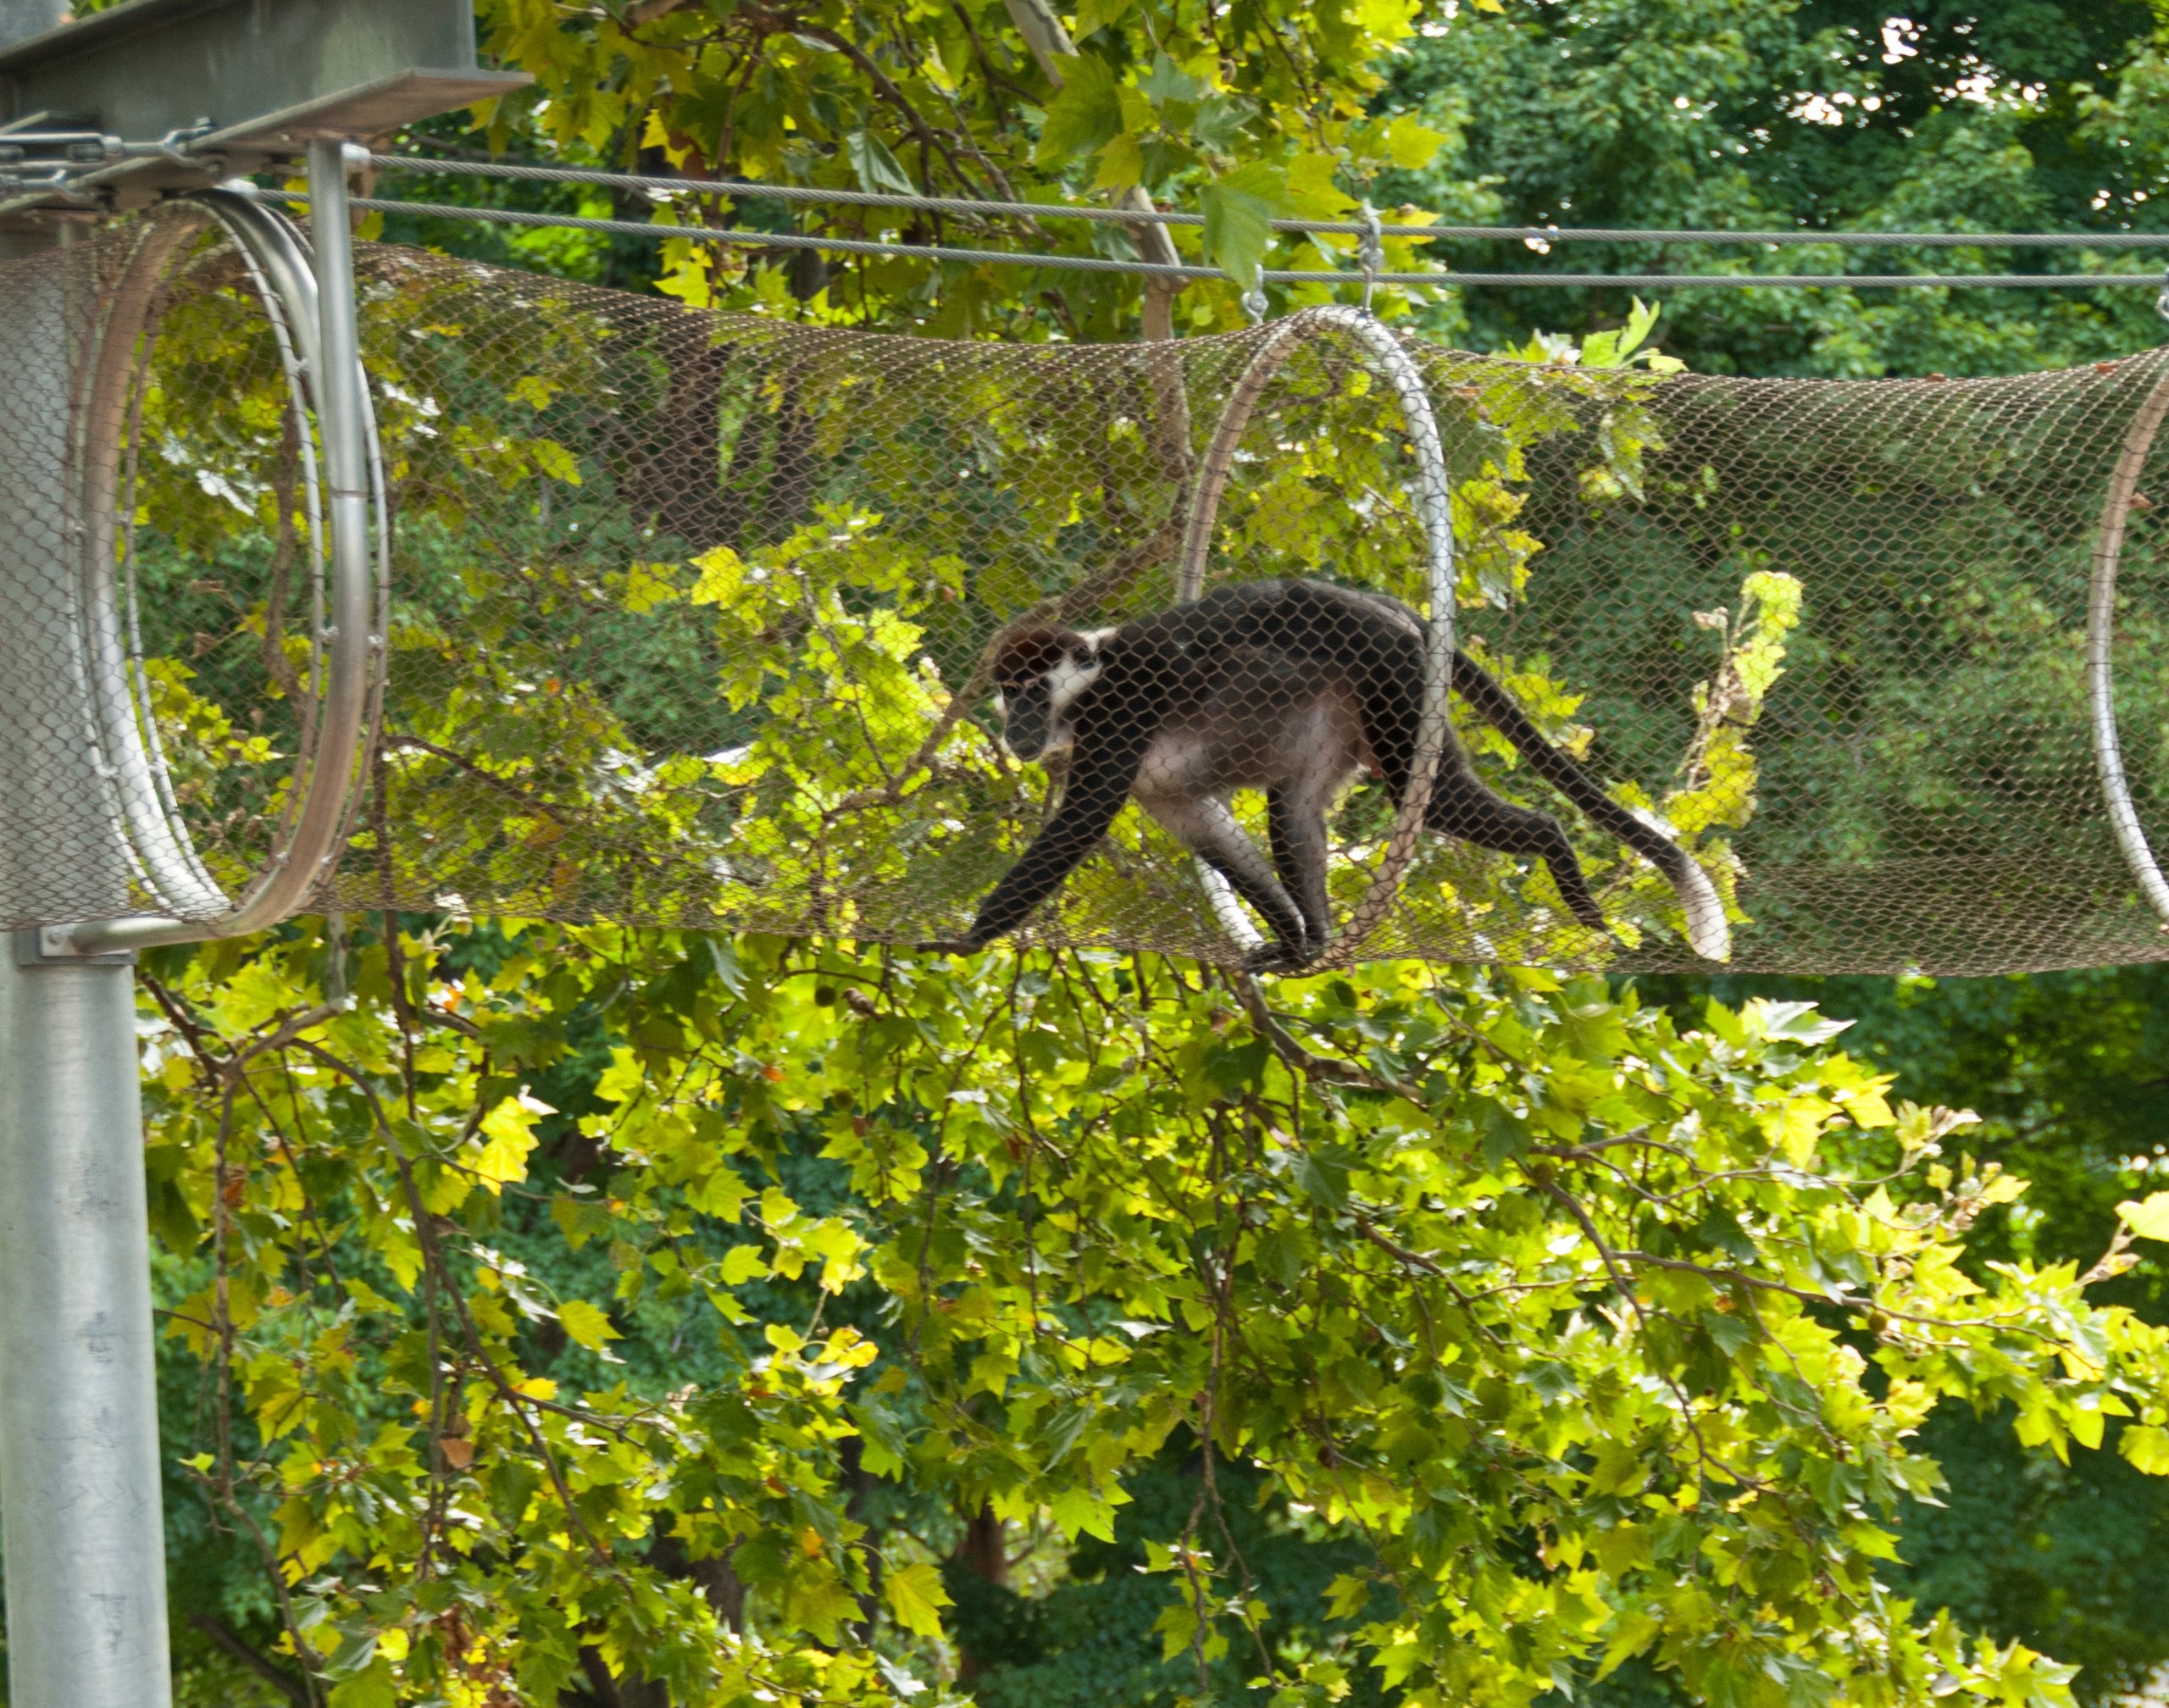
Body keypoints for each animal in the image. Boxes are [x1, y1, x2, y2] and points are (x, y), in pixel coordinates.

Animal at [928, 576, 1726, 967]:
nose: (1016, 726)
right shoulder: (1150, 776)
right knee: (1294, 809)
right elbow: (1206, 828)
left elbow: (1080, 826)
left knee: (1431, 797)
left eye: (1032, 694)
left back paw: (1553, 845)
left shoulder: (1119, 717)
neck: (1083, 697)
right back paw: (1312, 943)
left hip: (1394, 682)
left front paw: (965, 939)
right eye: (1007, 695)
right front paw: (1286, 935)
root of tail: (1394, 621)